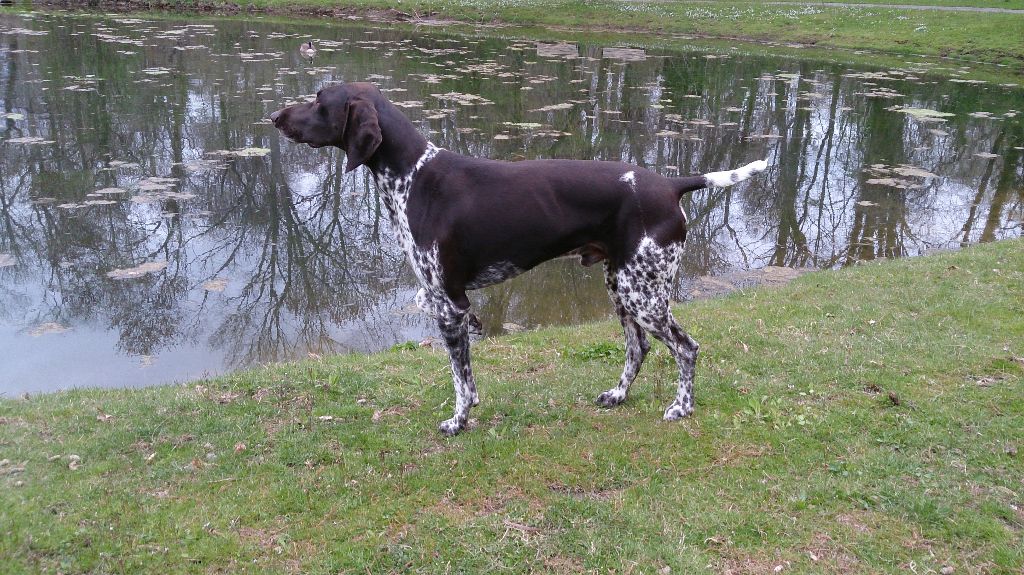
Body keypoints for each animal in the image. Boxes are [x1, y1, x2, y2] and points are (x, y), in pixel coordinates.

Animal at [271, 82, 767, 435]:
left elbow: (461, 380)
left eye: (318, 99)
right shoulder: (455, 306)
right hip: (622, 286)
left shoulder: (450, 305)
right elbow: (466, 377)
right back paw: (618, 395)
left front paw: (459, 422)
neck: (414, 176)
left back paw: (681, 408)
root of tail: (671, 184)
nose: (275, 117)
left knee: (686, 347)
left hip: (642, 294)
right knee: (638, 347)